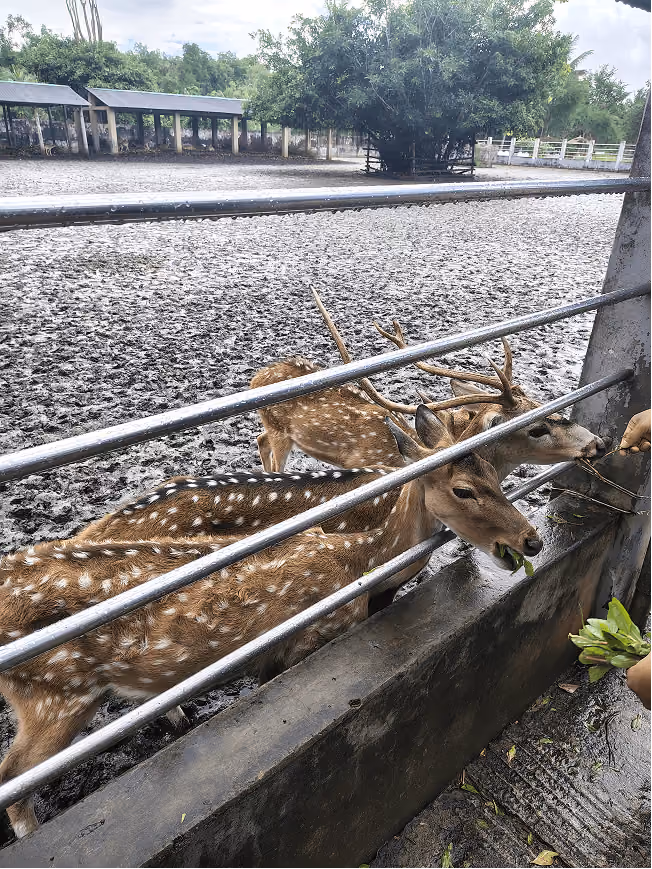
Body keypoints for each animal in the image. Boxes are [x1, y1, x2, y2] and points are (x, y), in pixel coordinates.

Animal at [0, 406, 542, 839]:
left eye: (495, 472)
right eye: (464, 489)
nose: (531, 540)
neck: (360, 563)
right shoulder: (302, 642)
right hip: (55, 695)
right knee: (13, 778)